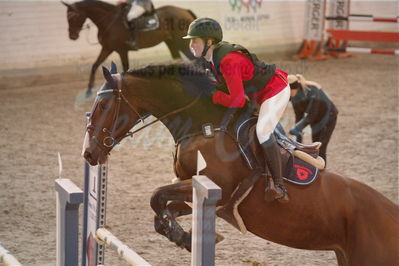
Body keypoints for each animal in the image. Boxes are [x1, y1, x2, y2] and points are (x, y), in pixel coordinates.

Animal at [62, 0, 197, 94]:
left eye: (73, 16)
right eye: (67, 17)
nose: (72, 36)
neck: (109, 21)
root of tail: (185, 10)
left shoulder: (122, 50)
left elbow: (125, 69)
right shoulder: (107, 48)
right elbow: (95, 65)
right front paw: (89, 90)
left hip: (181, 43)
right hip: (171, 42)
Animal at [81, 62, 399, 266]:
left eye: (104, 106)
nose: (88, 154)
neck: (203, 126)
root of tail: (391, 213)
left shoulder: (215, 187)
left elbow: (156, 196)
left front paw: (185, 236)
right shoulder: (199, 194)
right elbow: (161, 209)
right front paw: (182, 236)